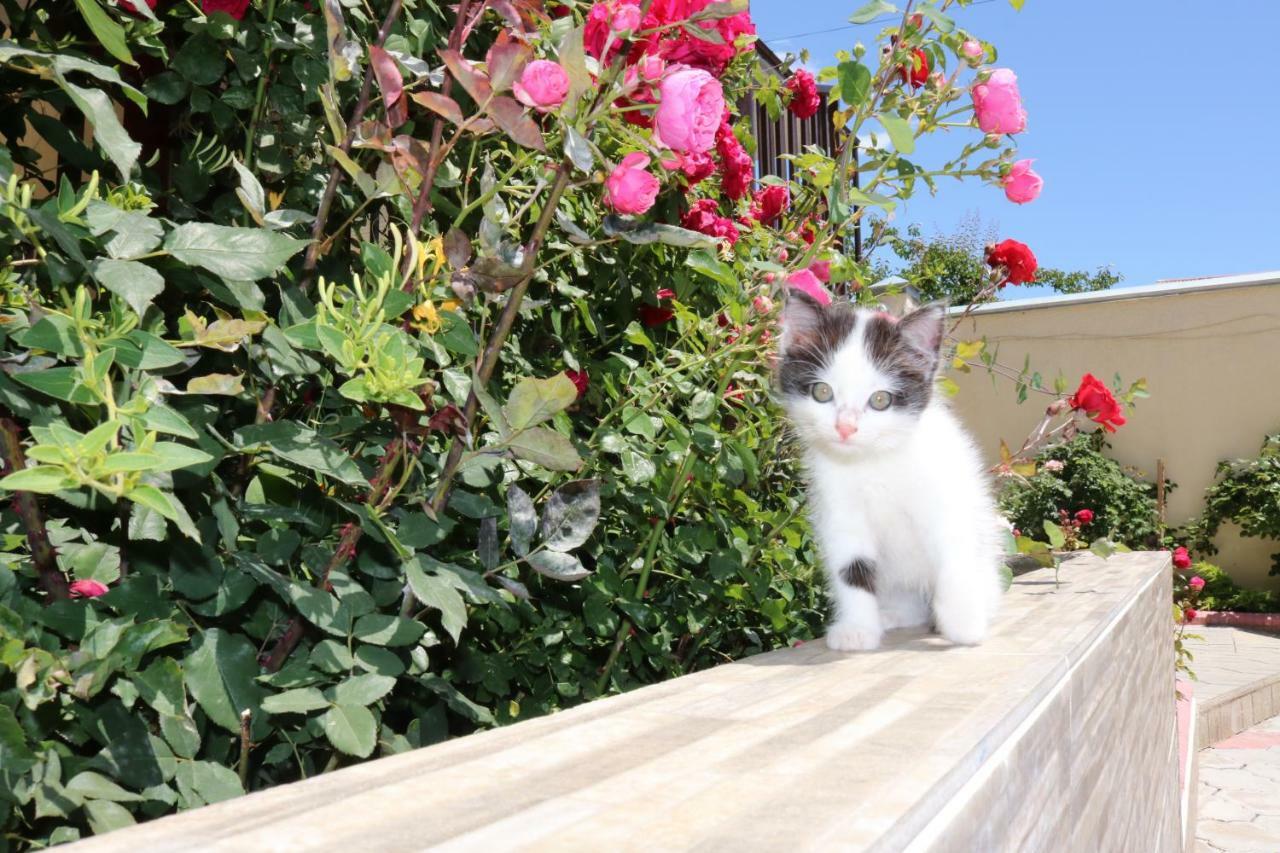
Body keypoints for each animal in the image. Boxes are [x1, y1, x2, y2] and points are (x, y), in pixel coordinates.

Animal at [773, 289, 1003, 648]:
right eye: (822, 392)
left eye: (880, 400)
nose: (845, 428)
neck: (874, 461)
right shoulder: (840, 512)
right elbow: (851, 568)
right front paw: (857, 629)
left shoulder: (946, 497)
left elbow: (953, 557)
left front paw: (963, 625)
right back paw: (892, 615)